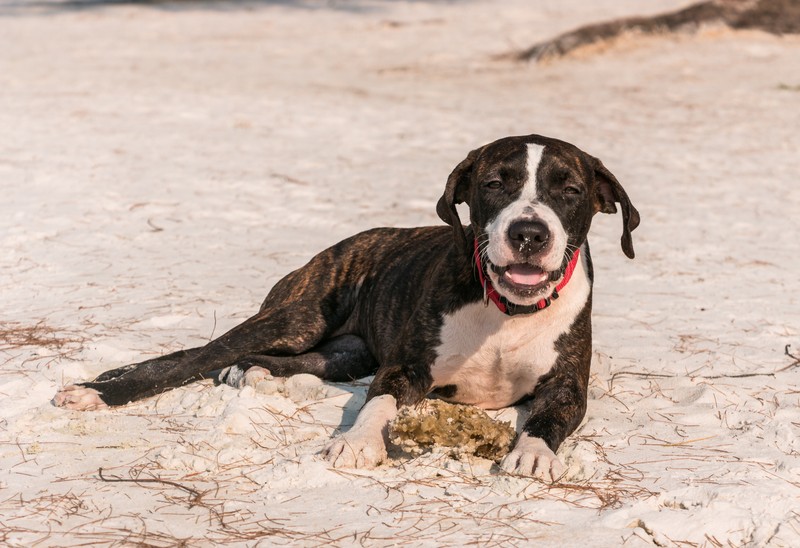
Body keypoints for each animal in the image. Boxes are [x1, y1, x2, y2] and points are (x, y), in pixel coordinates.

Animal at [51, 133, 636, 480]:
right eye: (495, 184)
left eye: (570, 190)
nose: (529, 233)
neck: (506, 313)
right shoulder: (404, 369)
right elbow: (378, 403)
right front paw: (356, 443)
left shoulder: (567, 387)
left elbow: (551, 417)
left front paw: (532, 452)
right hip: (300, 315)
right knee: (197, 356)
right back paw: (99, 390)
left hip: (344, 351)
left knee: (275, 360)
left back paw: (256, 376)